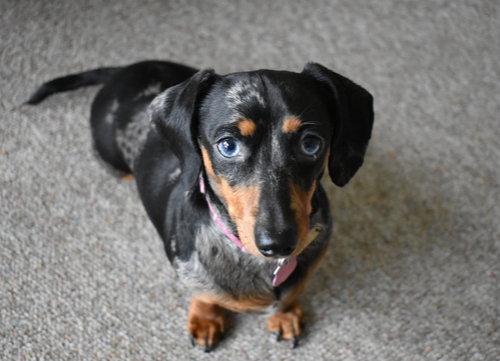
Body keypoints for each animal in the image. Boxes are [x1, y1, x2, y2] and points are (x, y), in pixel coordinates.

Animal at [26, 60, 372, 350]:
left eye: (311, 144)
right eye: (228, 146)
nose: (278, 244)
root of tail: (124, 69)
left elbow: (291, 294)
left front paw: (284, 314)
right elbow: (204, 294)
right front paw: (206, 318)